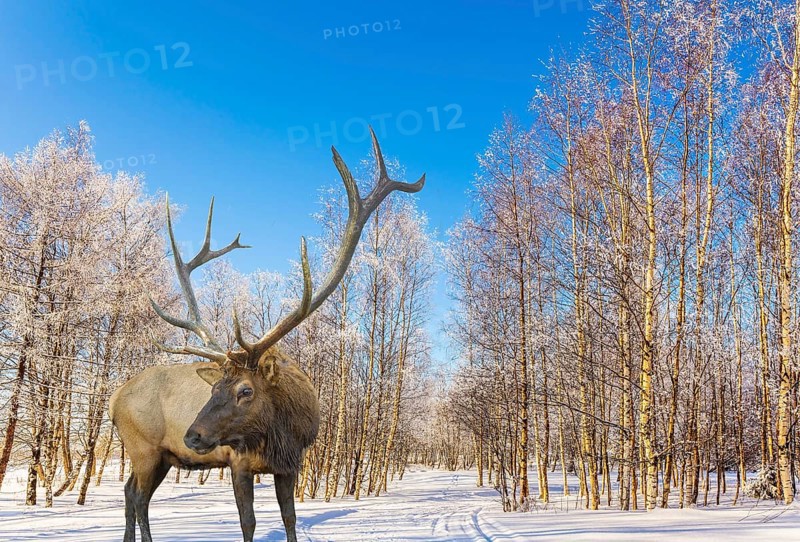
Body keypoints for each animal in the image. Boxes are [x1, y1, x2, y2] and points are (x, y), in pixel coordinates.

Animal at [109, 128, 425, 542]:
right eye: (214, 388)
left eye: (245, 391)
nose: (192, 436)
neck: (279, 432)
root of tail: (113, 401)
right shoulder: (237, 462)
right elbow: (249, 522)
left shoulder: (291, 465)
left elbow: (289, 517)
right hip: (144, 447)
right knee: (138, 496)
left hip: (156, 455)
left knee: (130, 492)